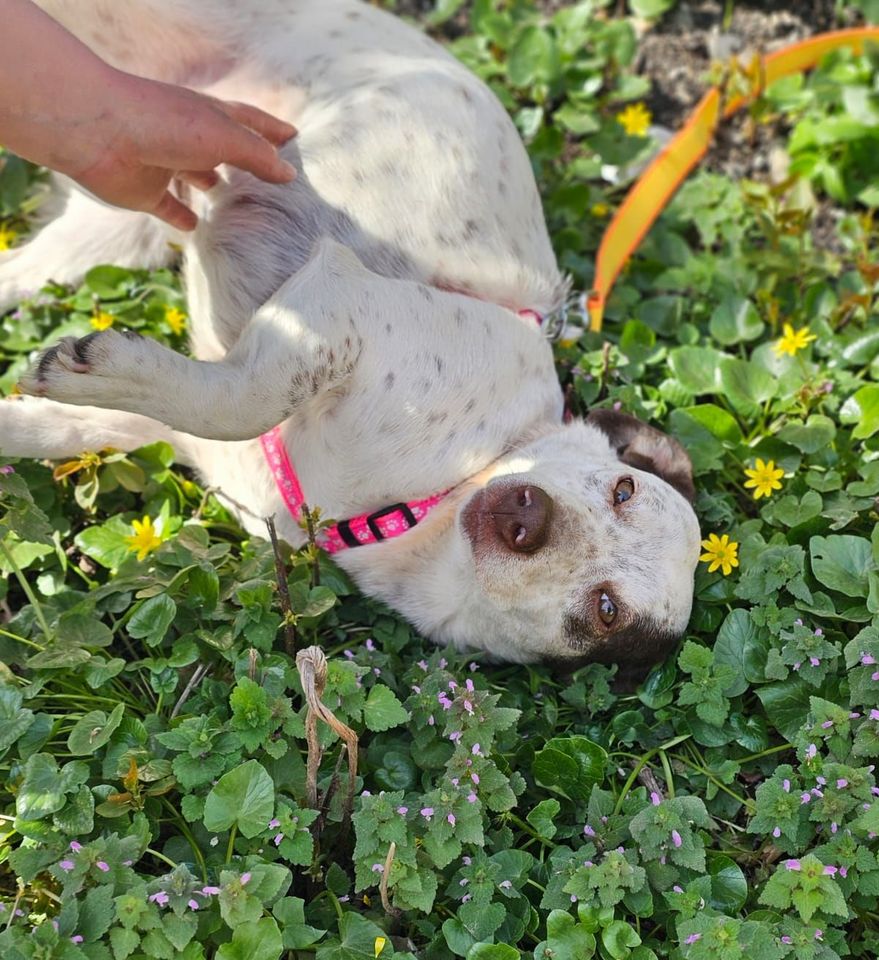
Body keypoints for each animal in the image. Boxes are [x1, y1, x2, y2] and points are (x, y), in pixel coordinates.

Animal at [0, 0, 700, 680]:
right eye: (623, 489)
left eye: (606, 609)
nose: (525, 514)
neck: (431, 492)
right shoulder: (341, 299)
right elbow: (243, 401)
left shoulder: (173, 428)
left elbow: (66, 422)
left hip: (108, 217)